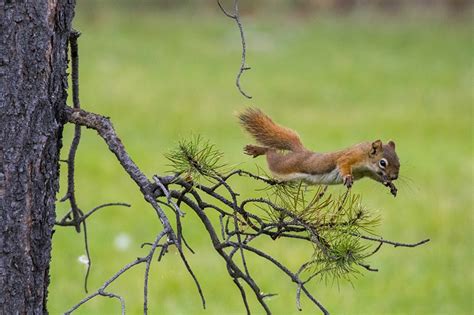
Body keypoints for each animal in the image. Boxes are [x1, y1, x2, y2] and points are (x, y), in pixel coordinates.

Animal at [239, 110, 398, 196]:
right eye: (383, 162)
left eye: (398, 162)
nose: (394, 177)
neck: (366, 157)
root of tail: (301, 151)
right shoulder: (352, 156)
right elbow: (343, 163)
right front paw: (347, 176)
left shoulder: (369, 172)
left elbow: (377, 178)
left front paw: (390, 185)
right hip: (282, 166)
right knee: (271, 153)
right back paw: (257, 149)